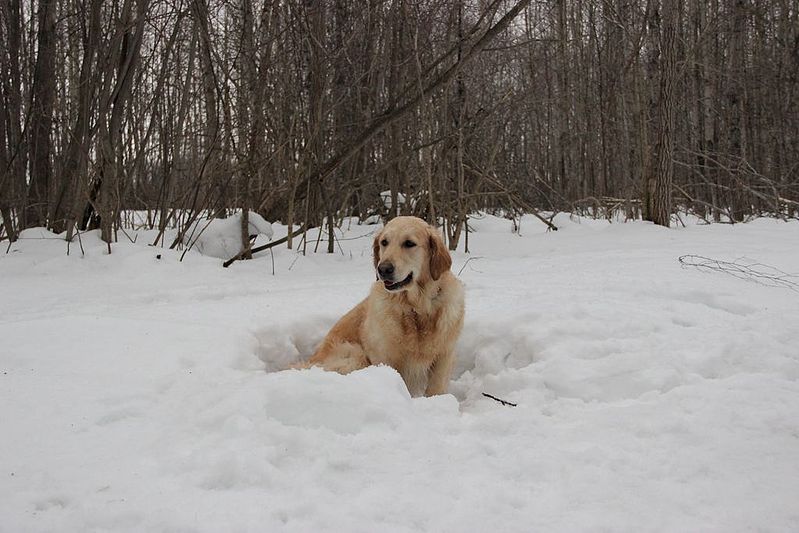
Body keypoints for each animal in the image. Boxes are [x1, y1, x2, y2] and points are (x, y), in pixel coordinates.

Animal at [306, 215, 468, 394]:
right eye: (384, 242)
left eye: (409, 243)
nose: (383, 269)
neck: (416, 308)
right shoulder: (385, 357)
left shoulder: (444, 356)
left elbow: (436, 388)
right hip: (355, 354)